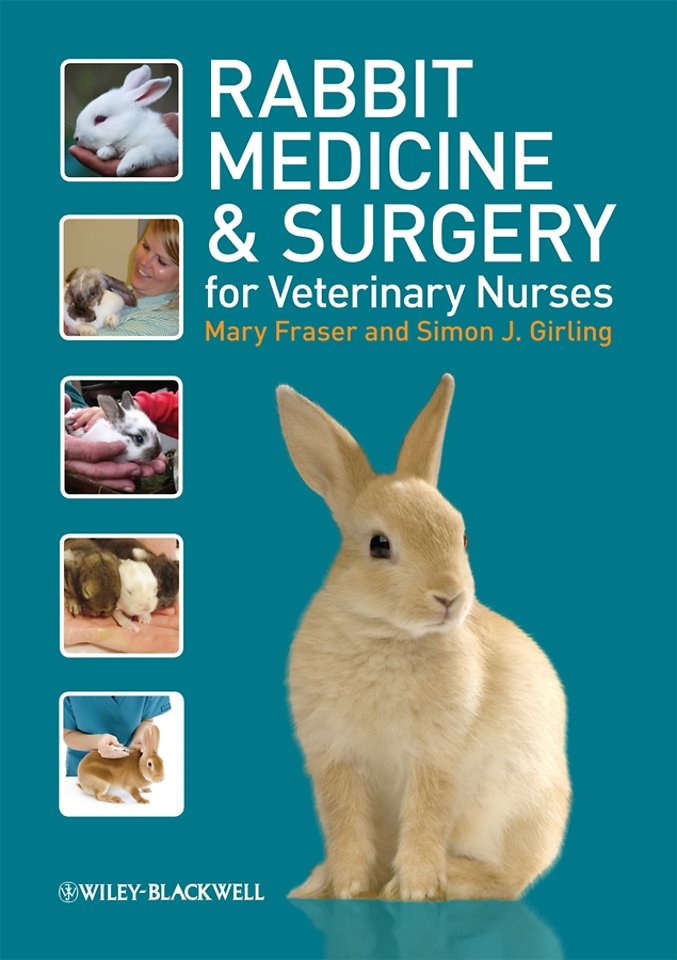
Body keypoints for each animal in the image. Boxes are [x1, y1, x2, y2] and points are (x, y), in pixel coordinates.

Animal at [276, 374, 571, 902]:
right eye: (379, 545)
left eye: (462, 536)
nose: (450, 597)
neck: (384, 633)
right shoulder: (335, 760)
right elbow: (344, 823)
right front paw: (348, 886)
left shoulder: (434, 759)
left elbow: (426, 818)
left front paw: (412, 889)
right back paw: (318, 883)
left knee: (508, 879)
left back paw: (445, 880)